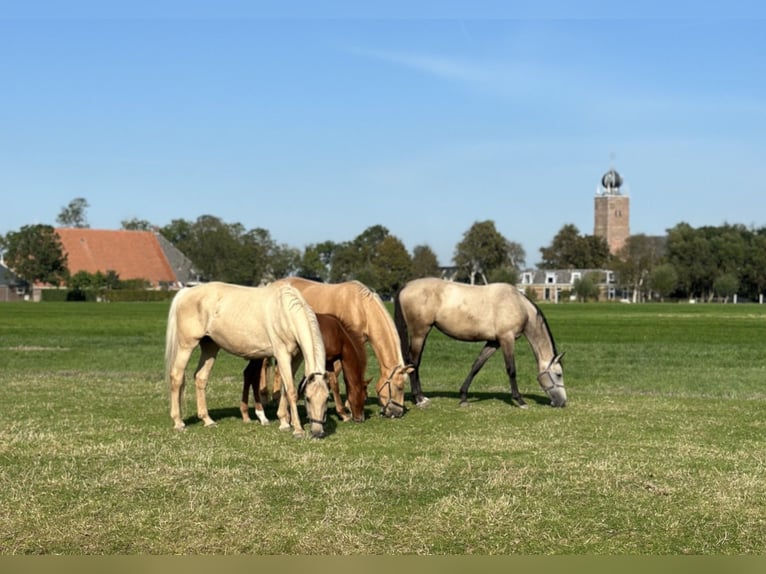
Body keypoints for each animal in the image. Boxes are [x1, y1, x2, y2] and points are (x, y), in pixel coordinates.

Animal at [165, 282, 330, 438]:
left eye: (326, 399)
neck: (285, 312)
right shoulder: (282, 355)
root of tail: (186, 291)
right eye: (308, 398)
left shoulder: (295, 358)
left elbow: (285, 389)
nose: (318, 432)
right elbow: (291, 391)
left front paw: (284, 421)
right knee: (176, 377)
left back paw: (207, 420)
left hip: (210, 347)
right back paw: (178, 422)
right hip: (186, 346)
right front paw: (297, 429)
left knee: (200, 378)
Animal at [240, 312, 372, 426]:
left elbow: (333, 384)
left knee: (249, 374)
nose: (360, 418)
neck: (338, 334)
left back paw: (249, 414)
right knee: (252, 375)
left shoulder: (329, 362)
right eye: (363, 398)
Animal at [392, 278, 568, 410]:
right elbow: (511, 370)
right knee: (414, 362)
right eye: (559, 374)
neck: (518, 304)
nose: (562, 402)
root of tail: (407, 285)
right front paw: (520, 400)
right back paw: (419, 399)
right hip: (419, 333)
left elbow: (477, 366)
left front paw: (463, 397)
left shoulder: (494, 342)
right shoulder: (507, 339)